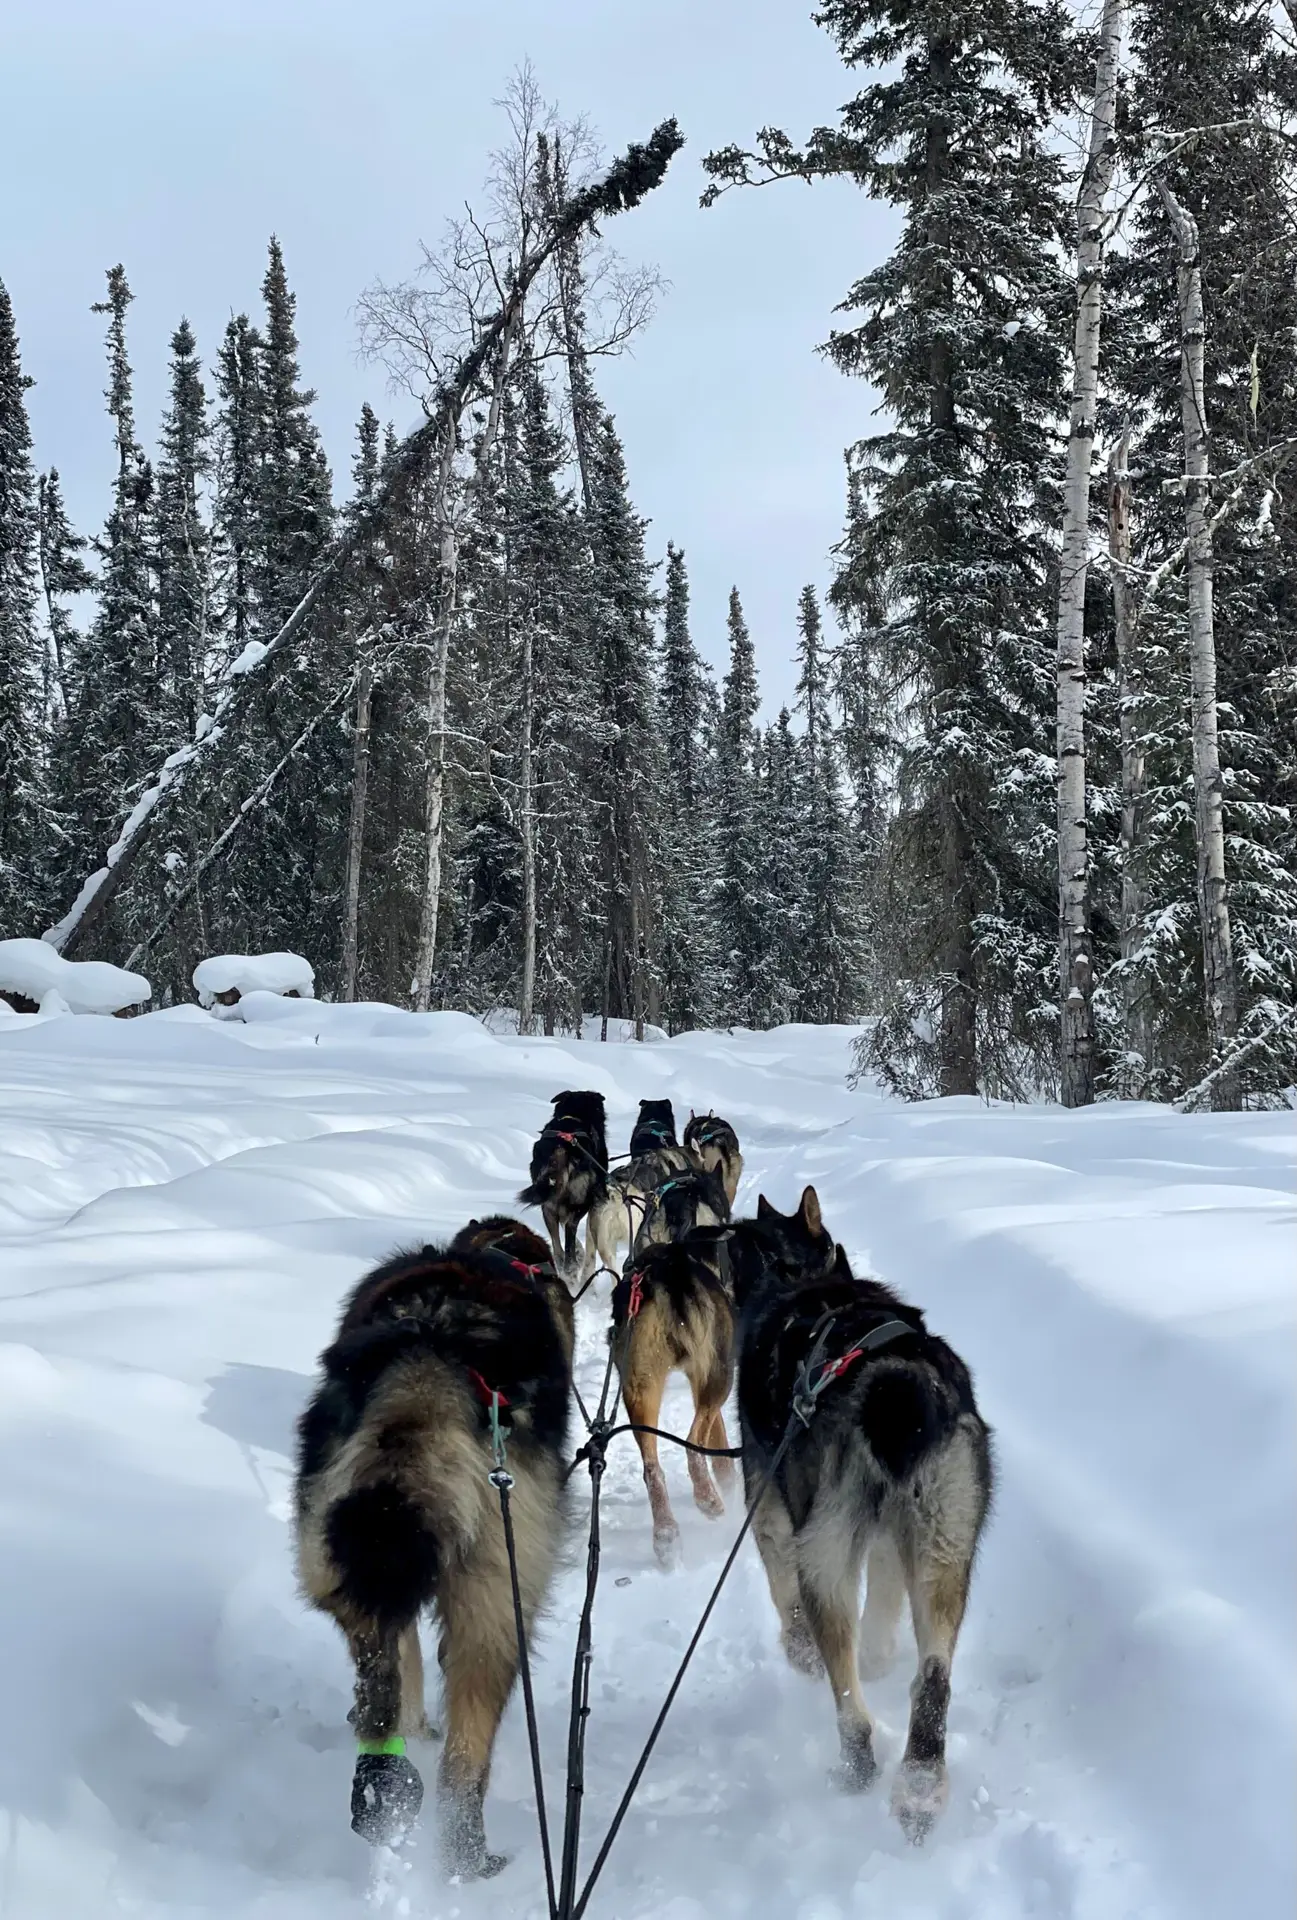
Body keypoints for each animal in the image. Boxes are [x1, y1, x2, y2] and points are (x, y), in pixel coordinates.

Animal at [293, 1215, 574, 1877]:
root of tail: (428, 1364)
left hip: (344, 1561)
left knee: (380, 1688)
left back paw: (383, 1785)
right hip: (499, 1600)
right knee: (465, 1759)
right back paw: (466, 1858)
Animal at [518, 1090, 608, 1280]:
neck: (574, 1114)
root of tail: (561, 1149)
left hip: (547, 1206)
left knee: (558, 1248)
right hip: (582, 1200)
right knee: (569, 1230)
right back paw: (572, 1265)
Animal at [611, 1225, 738, 1565]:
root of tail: (669, 1278)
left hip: (640, 1388)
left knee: (652, 1467)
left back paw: (666, 1535)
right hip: (719, 1375)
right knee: (693, 1444)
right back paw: (708, 1498)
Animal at [727, 1187, 993, 1842]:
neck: (801, 1283)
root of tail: (893, 1380)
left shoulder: (768, 1507)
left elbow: (783, 1596)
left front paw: (796, 1651)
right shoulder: (890, 1542)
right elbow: (883, 1608)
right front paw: (878, 1654)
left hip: (823, 1560)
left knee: (849, 1701)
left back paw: (856, 1766)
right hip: (945, 1549)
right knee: (932, 1677)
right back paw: (920, 1785)